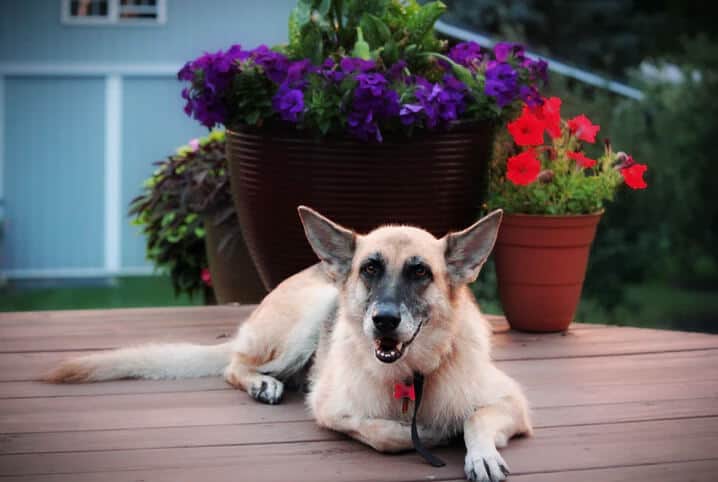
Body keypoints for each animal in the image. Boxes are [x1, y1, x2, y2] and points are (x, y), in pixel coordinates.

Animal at [46, 206, 528, 482]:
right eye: (370, 269)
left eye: (420, 272)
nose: (384, 321)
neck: (412, 376)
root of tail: (319, 269)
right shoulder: (332, 410)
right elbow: (383, 434)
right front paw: (429, 433)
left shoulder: (514, 404)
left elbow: (476, 419)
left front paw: (480, 454)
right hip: (309, 318)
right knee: (234, 365)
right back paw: (262, 383)